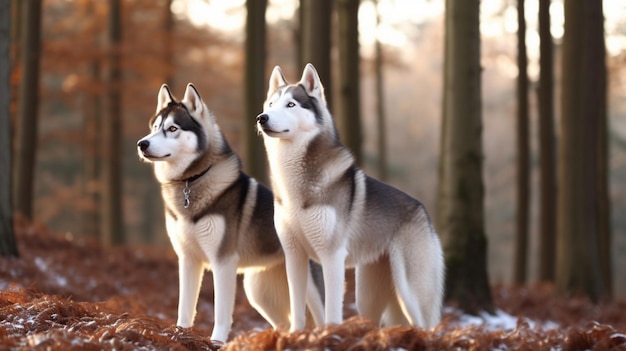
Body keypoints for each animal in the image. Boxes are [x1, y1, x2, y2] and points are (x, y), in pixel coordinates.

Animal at [135, 83, 322, 344]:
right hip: (258, 293)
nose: (142, 144)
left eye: (172, 128)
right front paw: (179, 335)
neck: (191, 182)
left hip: (306, 287)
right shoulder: (188, 259)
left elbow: (221, 311)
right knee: (284, 322)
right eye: (154, 128)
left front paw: (217, 342)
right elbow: (185, 307)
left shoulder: (223, 262)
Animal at [255, 64, 444, 332]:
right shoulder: (294, 256)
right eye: (271, 104)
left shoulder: (332, 257)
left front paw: (329, 334)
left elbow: (333, 310)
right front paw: (296, 335)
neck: (295, 185)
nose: (262, 117)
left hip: (410, 293)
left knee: (425, 325)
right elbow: (297, 308)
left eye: (291, 104)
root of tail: (423, 210)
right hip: (368, 296)